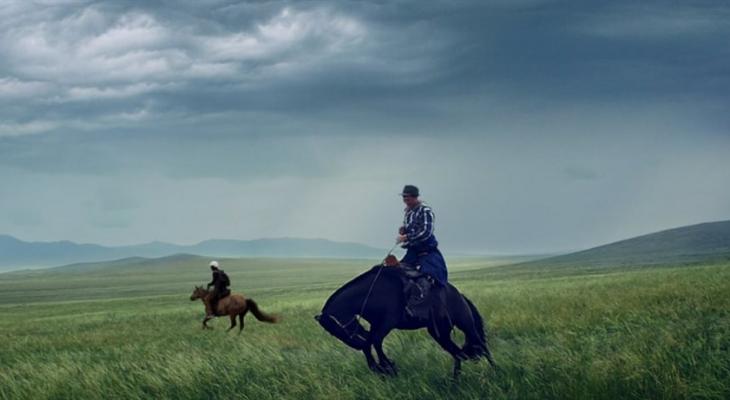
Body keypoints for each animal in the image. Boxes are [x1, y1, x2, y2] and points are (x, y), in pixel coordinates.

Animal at [314, 266, 494, 378]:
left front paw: (388, 367)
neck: (372, 292)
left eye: (336, 328)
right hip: (440, 333)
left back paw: (495, 370)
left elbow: (375, 341)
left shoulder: (387, 322)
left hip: (466, 324)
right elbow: (370, 344)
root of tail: (461, 296)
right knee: (458, 354)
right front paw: (381, 368)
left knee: (480, 345)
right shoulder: (375, 324)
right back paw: (455, 381)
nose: (356, 343)